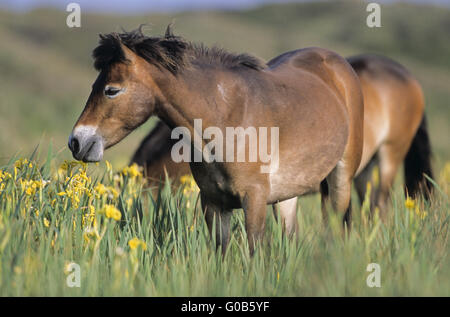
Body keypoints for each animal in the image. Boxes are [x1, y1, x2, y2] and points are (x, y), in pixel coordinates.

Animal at [70, 27, 366, 254]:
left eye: (111, 90)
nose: (76, 141)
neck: (227, 117)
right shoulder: (214, 203)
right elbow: (221, 255)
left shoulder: (253, 200)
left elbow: (254, 254)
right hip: (287, 196)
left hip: (340, 181)